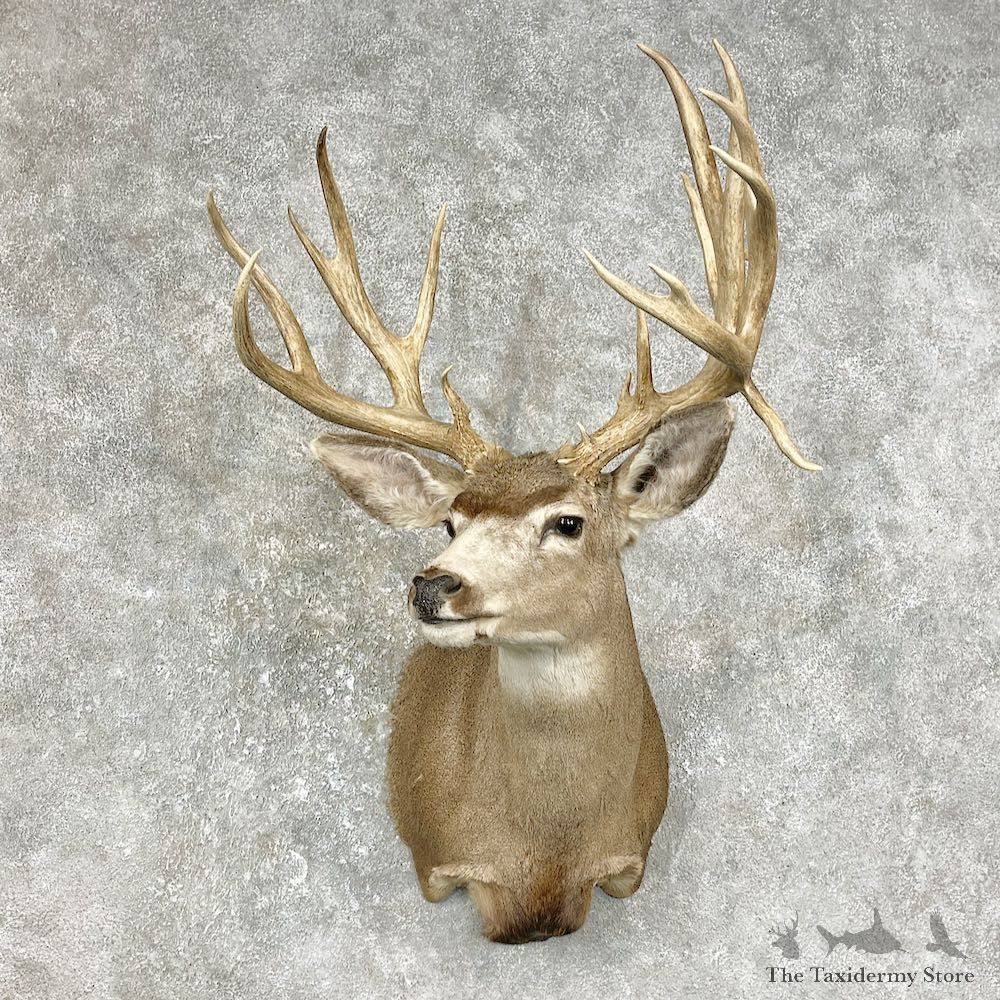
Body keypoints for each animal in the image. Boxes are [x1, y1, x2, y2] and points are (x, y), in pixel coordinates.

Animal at [207, 39, 819, 944]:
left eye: (567, 522)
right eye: (451, 519)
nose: (434, 584)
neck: (546, 853)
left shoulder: (627, 863)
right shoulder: (442, 865)